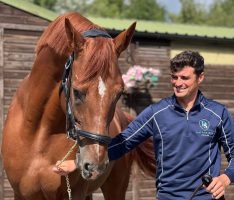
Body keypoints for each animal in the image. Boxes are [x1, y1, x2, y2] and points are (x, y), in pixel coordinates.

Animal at [1, 12, 156, 200]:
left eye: (119, 93)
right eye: (76, 91)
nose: (95, 165)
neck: (37, 133)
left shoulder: (74, 193)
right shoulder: (21, 194)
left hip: (116, 188)